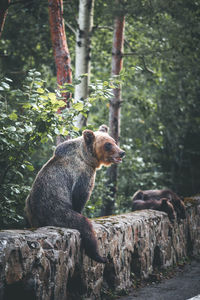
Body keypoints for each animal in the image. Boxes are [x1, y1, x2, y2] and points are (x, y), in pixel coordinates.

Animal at [25, 124, 125, 262]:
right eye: (108, 144)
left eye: (114, 141)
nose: (122, 152)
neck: (87, 158)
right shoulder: (82, 174)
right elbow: (80, 196)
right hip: (56, 212)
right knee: (83, 225)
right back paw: (100, 256)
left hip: (29, 208)